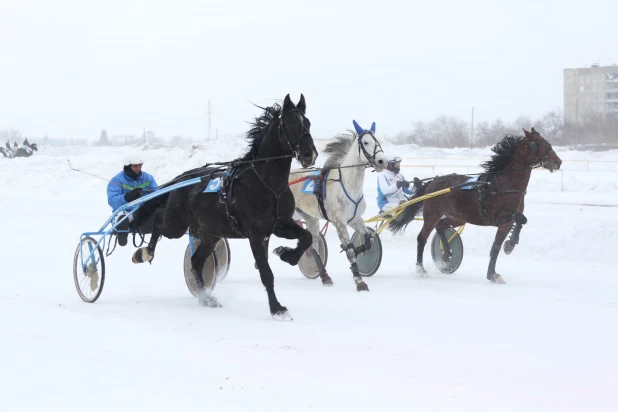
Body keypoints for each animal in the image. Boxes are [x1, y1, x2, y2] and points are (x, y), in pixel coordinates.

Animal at [132, 95, 316, 320]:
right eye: (290, 125)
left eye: (308, 123)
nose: (309, 155)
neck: (269, 185)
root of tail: (181, 179)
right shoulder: (255, 234)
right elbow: (266, 273)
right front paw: (277, 308)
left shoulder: (281, 225)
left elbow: (307, 237)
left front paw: (286, 254)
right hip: (175, 224)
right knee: (158, 222)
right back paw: (146, 252)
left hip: (211, 233)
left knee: (196, 261)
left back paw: (206, 297)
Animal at [288, 120, 384, 292]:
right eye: (366, 142)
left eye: (377, 141)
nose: (382, 161)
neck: (347, 184)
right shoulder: (339, 223)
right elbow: (350, 251)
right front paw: (359, 281)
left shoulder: (355, 219)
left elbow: (368, 242)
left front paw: (358, 251)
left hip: (310, 218)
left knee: (313, 245)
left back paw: (325, 276)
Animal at [390, 129, 560, 284]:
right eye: (538, 143)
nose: (558, 162)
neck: (504, 185)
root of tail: (432, 182)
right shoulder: (496, 218)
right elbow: (520, 218)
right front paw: (510, 245)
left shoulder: (505, 224)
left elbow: (497, 246)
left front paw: (494, 271)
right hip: (432, 215)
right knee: (422, 238)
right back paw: (421, 269)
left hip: (458, 217)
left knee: (441, 226)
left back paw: (447, 254)